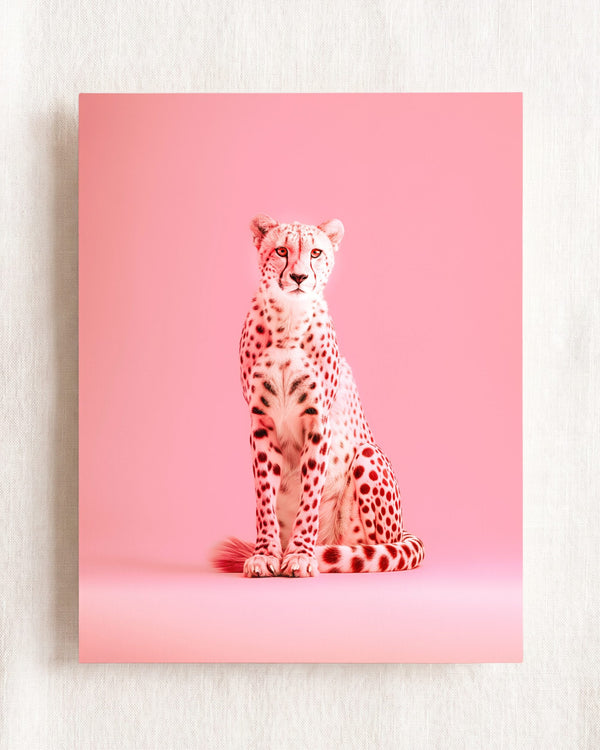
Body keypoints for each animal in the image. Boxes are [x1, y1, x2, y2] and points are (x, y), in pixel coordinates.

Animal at [212, 214, 425, 577]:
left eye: (315, 252)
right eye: (282, 251)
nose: (299, 277)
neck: (288, 321)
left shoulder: (318, 421)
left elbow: (310, 492)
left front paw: (300, 554)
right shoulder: (261, 422)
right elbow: (264, 496)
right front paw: (266, 554)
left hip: (368, 455)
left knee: (378, 549)